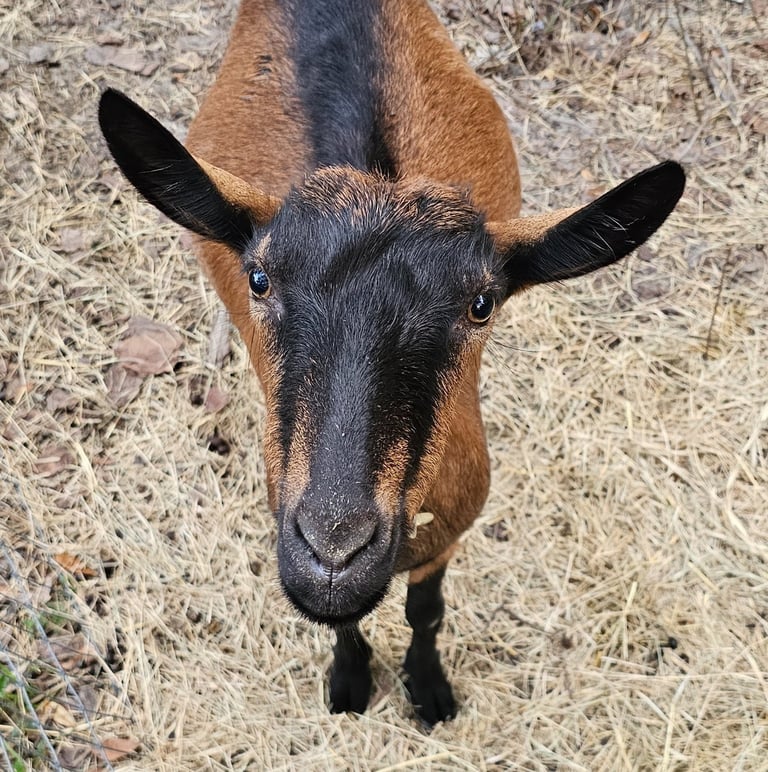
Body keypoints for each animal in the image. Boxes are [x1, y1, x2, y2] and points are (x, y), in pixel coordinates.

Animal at [98, 0, 685, 726]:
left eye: (482, 305)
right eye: (258, 278)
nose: (334, 551)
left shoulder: (452, 529)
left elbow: (424, 611)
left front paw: (429, 692)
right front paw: (350, 683)